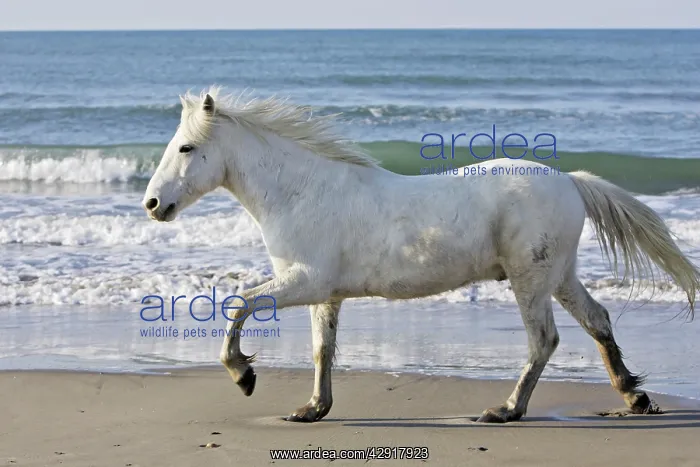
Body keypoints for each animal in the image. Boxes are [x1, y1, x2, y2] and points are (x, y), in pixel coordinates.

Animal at [142, 87, 699, 423]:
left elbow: (238, 303)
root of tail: (570, 182)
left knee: (544, 340)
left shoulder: (306, 282)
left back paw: (506, 410)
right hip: (558, 275)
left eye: (186, 148)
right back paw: (634, 396)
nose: (152, 204)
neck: (302, 191)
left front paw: (243, 375)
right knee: (597, 320)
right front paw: (312, 408)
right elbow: (323, 349)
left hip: (530, 278)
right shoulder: (326, 293)